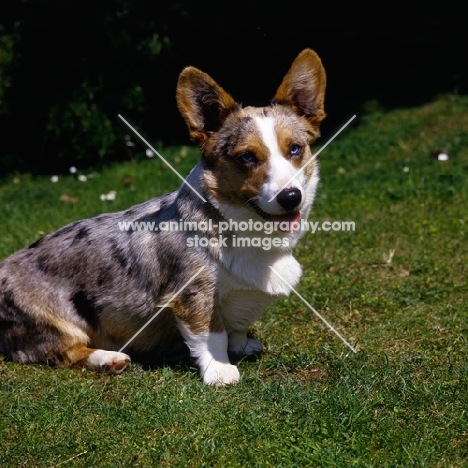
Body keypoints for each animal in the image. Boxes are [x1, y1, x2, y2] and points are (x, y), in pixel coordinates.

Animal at [0, 48, 326, 384]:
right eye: (246, 157)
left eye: (295, 149)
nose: (291, 197)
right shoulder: (194, 293)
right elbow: (212, 333)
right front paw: (220, 372)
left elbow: (235, 328)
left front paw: (243, 344)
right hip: (56, 324)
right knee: (62, 351)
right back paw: (108, 359)